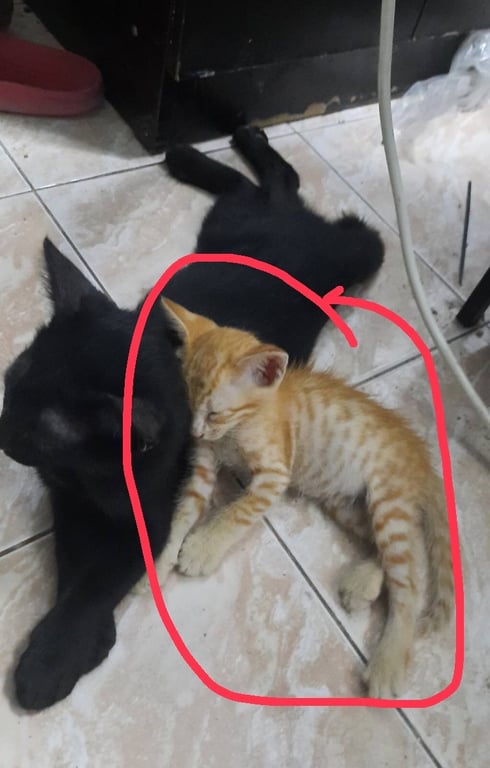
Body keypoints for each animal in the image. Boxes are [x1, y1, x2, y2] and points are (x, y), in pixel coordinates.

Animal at [0, 125, 384, 710]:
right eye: (11, 380)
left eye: (40, 430)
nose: (0, 435)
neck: (91, 475)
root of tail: (298, 228)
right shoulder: (69, 504)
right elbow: (73, 566)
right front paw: (74, 644)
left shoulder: (150, 516)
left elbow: (98, 582)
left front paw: (53, 660)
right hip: (223, 228)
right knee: (270, 185)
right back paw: (205, 149)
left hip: (352, 252)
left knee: (309, 201)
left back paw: (214, 149)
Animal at [159, 299, 454, 699]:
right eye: (188, 404)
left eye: (215, 412)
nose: (194, 432)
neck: (242, 426)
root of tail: (420, 454)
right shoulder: (203, 468)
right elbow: (183, 511)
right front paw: (160, 559)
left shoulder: (274, 473)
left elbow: (237, 512)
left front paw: (203, 548)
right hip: (348, 506)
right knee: (386, 551)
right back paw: (365, 582)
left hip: (387, 498)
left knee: (409, 581)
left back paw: (389, 659)